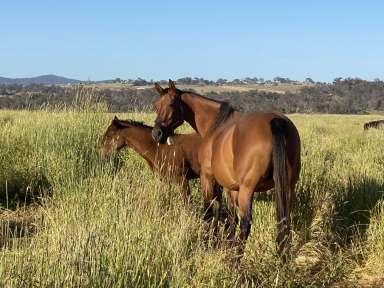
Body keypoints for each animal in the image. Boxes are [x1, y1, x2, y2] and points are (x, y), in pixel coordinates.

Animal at [152, 80, 302, 253]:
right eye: (156, 105)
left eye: (171, 104)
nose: (156, 134)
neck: (215, 126)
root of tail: (276, 121)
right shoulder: (231, 188)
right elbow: (230, 216)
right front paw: (226, 243)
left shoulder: (208, 178)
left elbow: (209, 213)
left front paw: (207, 244)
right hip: (287, 187)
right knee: (284, 219)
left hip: (247, 190)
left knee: (246, 224)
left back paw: (236, 258)